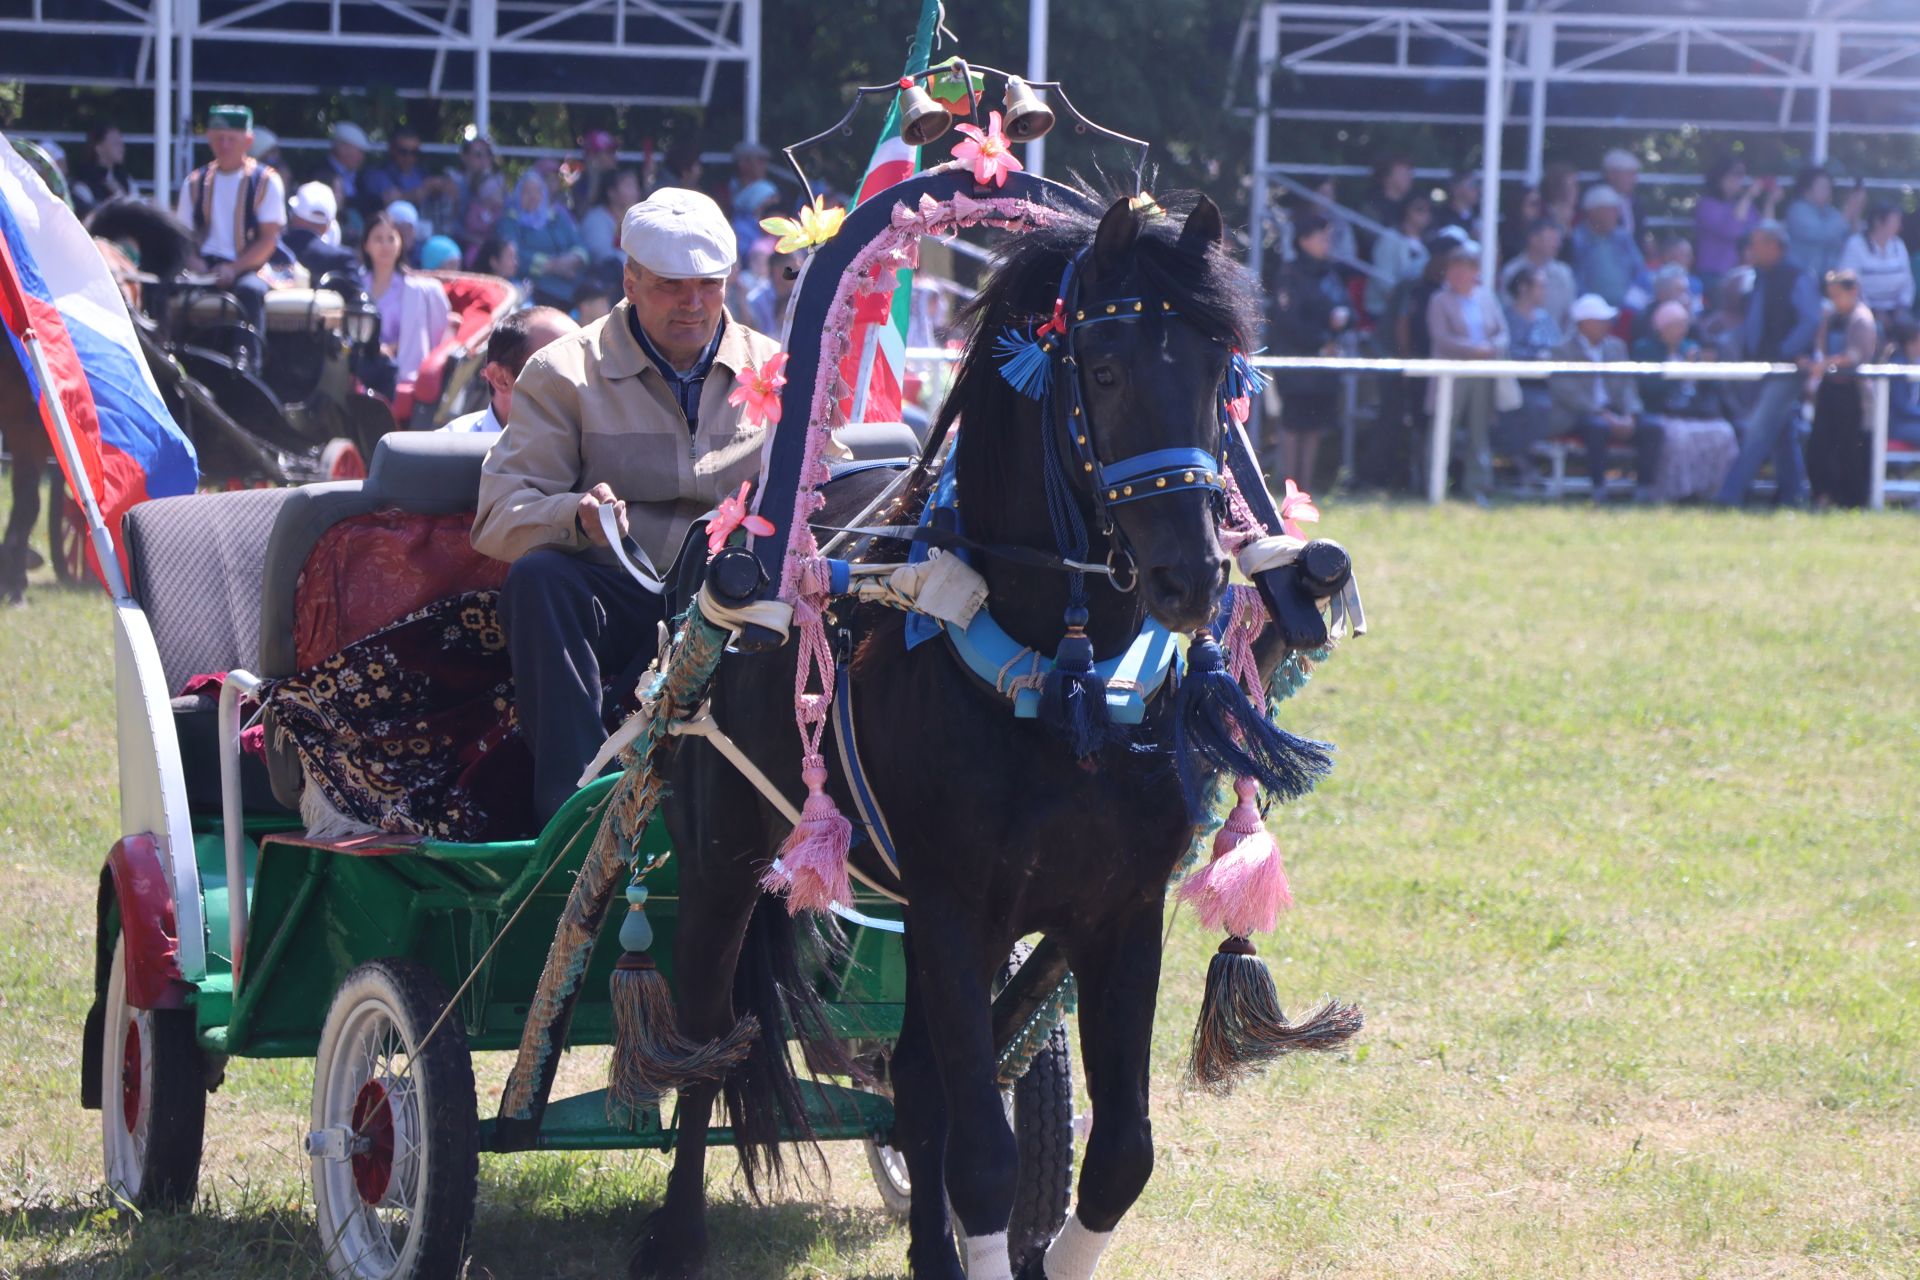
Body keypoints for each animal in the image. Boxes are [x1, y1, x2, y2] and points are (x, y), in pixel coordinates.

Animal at [645, 192, 1336, 1280]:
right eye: (1105, 370)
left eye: (1218, 375)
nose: (1190, 575)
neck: (1064, 689)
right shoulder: (953, 908)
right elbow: (983, 1153)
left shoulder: (1117, 912)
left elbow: (1117, 1153)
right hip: (721, 860)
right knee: (711, 1042)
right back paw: (676, 1234)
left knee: (914, 1080)